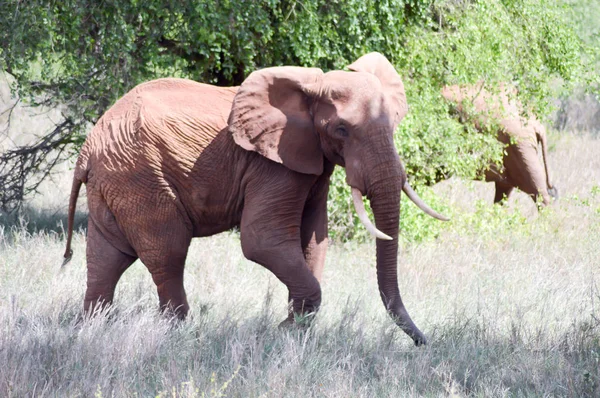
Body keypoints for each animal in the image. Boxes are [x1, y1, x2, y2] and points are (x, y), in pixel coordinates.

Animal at [63, 52, 448, 346]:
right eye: (341, 130)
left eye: (394, 123)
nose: (424, 344)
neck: (313, 86)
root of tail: (87, 150)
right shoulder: (272, 165)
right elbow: (262, 240)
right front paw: (281, 332)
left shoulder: (311, 161)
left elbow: (313, 240)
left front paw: (293, 331)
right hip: (139, 176)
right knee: (167, 252)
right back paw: (180, 335)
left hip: (116, 179)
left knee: (106, 257)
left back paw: (88, 330)